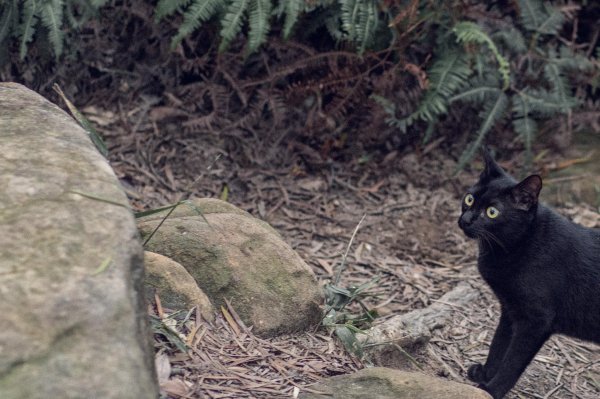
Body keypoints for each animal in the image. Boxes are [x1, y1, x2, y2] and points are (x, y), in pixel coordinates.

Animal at [458, 150, 596, 399]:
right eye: (470, 199)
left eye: (492, 212)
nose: (465, 220)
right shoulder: (510, 309)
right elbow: (498, 345)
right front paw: (485, 374)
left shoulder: (536, 321)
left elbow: (513, 362)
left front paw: (491, 389)